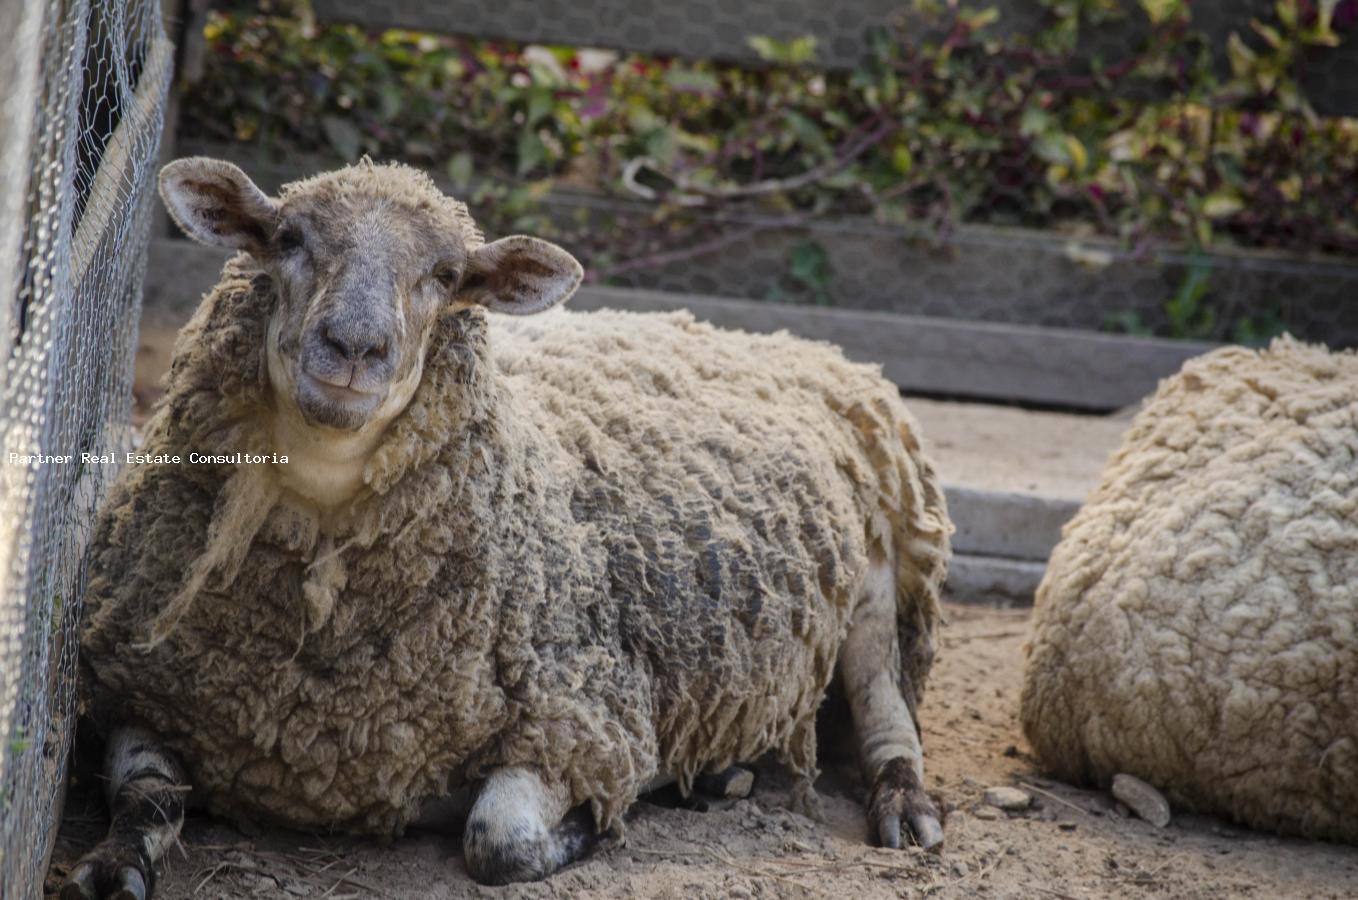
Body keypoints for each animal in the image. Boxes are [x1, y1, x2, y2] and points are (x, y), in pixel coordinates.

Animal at [63, 158, 950, 895]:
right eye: (288, 238)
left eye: (447, 275)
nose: (354, 347)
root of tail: (774, 338)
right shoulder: (138, 692)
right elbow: (147, 797)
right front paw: (113, 865)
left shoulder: (580, 716)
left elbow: (499, 839)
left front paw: (595, 825)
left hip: (876, 576)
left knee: (886, 709)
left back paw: (904, 808)